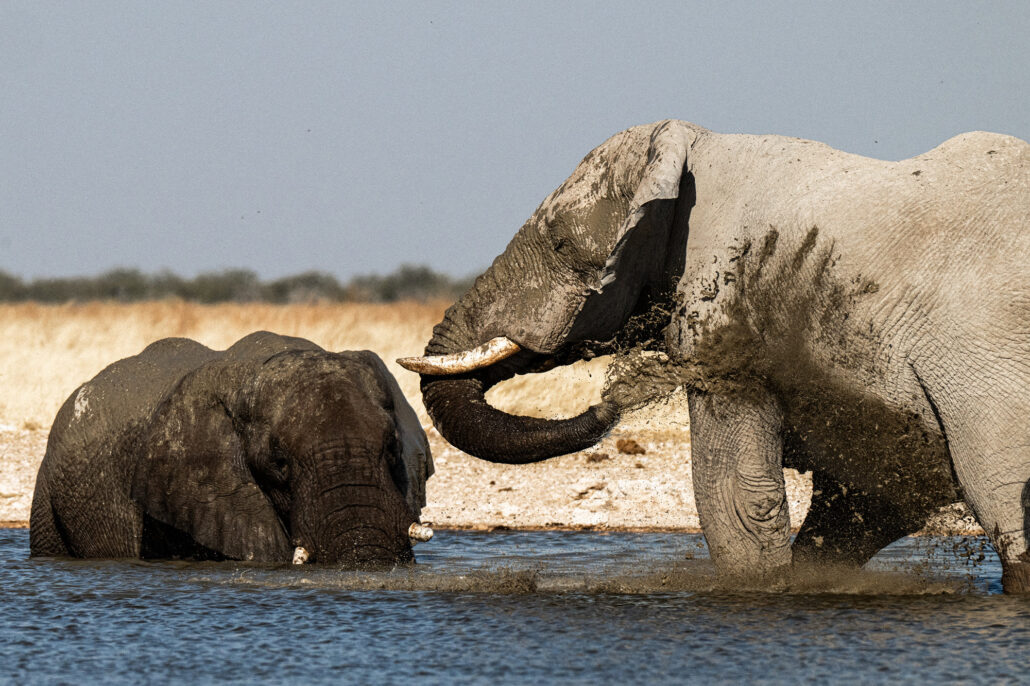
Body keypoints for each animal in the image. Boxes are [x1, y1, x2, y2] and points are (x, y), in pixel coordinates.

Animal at [399, 119, 1030, 592]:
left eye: (559, 245)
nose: (617, 397)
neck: (696, 147)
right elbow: (869, 498)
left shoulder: (725, 314)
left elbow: (734, 493)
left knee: (1001, 498)